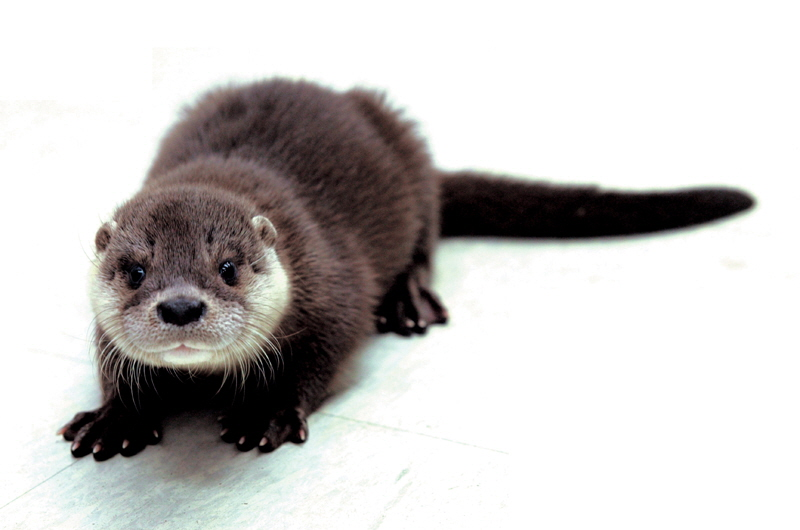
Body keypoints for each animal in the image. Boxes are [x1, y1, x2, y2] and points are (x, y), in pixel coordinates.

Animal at [59, 79, 754, 461]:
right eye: (134, 271)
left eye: (227, 267)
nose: (180, 306)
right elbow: (112, 359)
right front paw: (116, 418)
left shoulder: (332, 283)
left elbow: (328, 349)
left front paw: (267, 411)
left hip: (409, 150)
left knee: (424, 240)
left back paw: (409, 300)